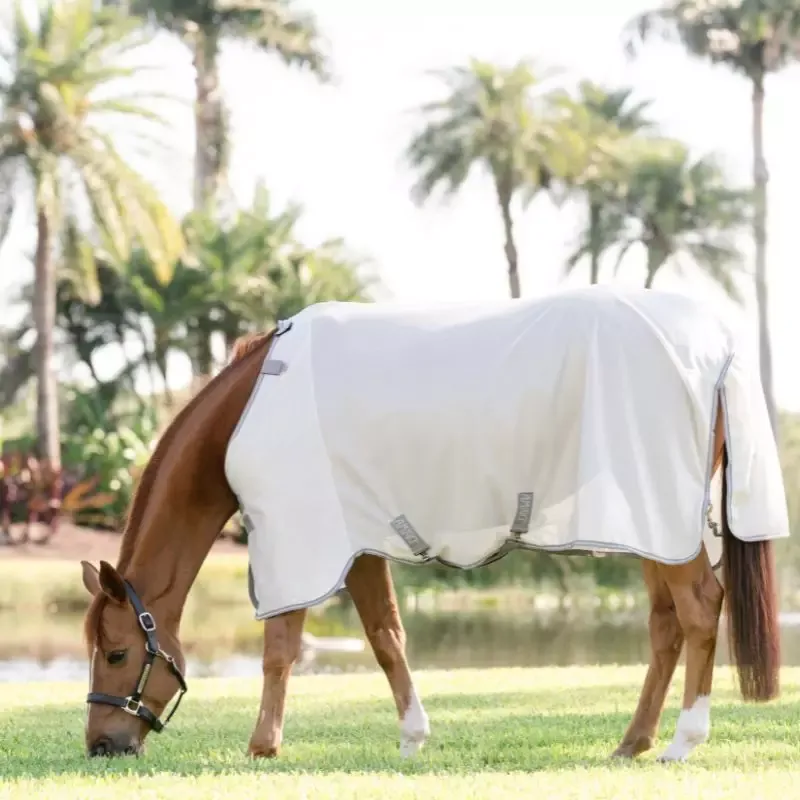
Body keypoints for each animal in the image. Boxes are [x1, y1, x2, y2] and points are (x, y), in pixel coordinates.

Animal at [80, 289, 784, 763]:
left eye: (117, 653)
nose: (102, 745)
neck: (249, 410)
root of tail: (716, 346)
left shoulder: (299, 539)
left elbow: (281, 648)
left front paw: (262, 747)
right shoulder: (358, 543)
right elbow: (386, 637)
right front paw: (414, 737)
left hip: (663, 521)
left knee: (700, 611)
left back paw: (683, 741)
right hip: (651, 523)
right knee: (667, 625)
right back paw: (632, 742)